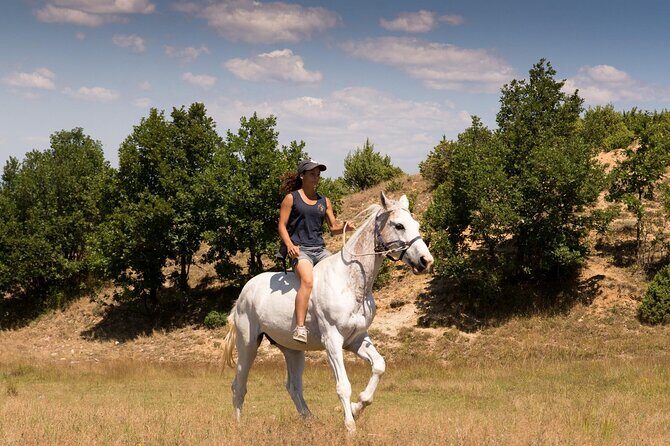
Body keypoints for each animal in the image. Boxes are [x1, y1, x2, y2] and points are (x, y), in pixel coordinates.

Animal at [221, 192, 434, 432]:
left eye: (416, 224)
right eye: (399, 225)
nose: (426, 261)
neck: (352, 283)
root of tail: (244, 293)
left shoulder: (356, 339)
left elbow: (379, 366)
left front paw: (357, 407)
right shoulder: (332, 340)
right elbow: (343, 385)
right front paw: (350, 426)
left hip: (292, 350)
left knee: (293, 386)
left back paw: (311, 421)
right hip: (247, 343)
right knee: (239, 385)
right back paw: (239, 426)